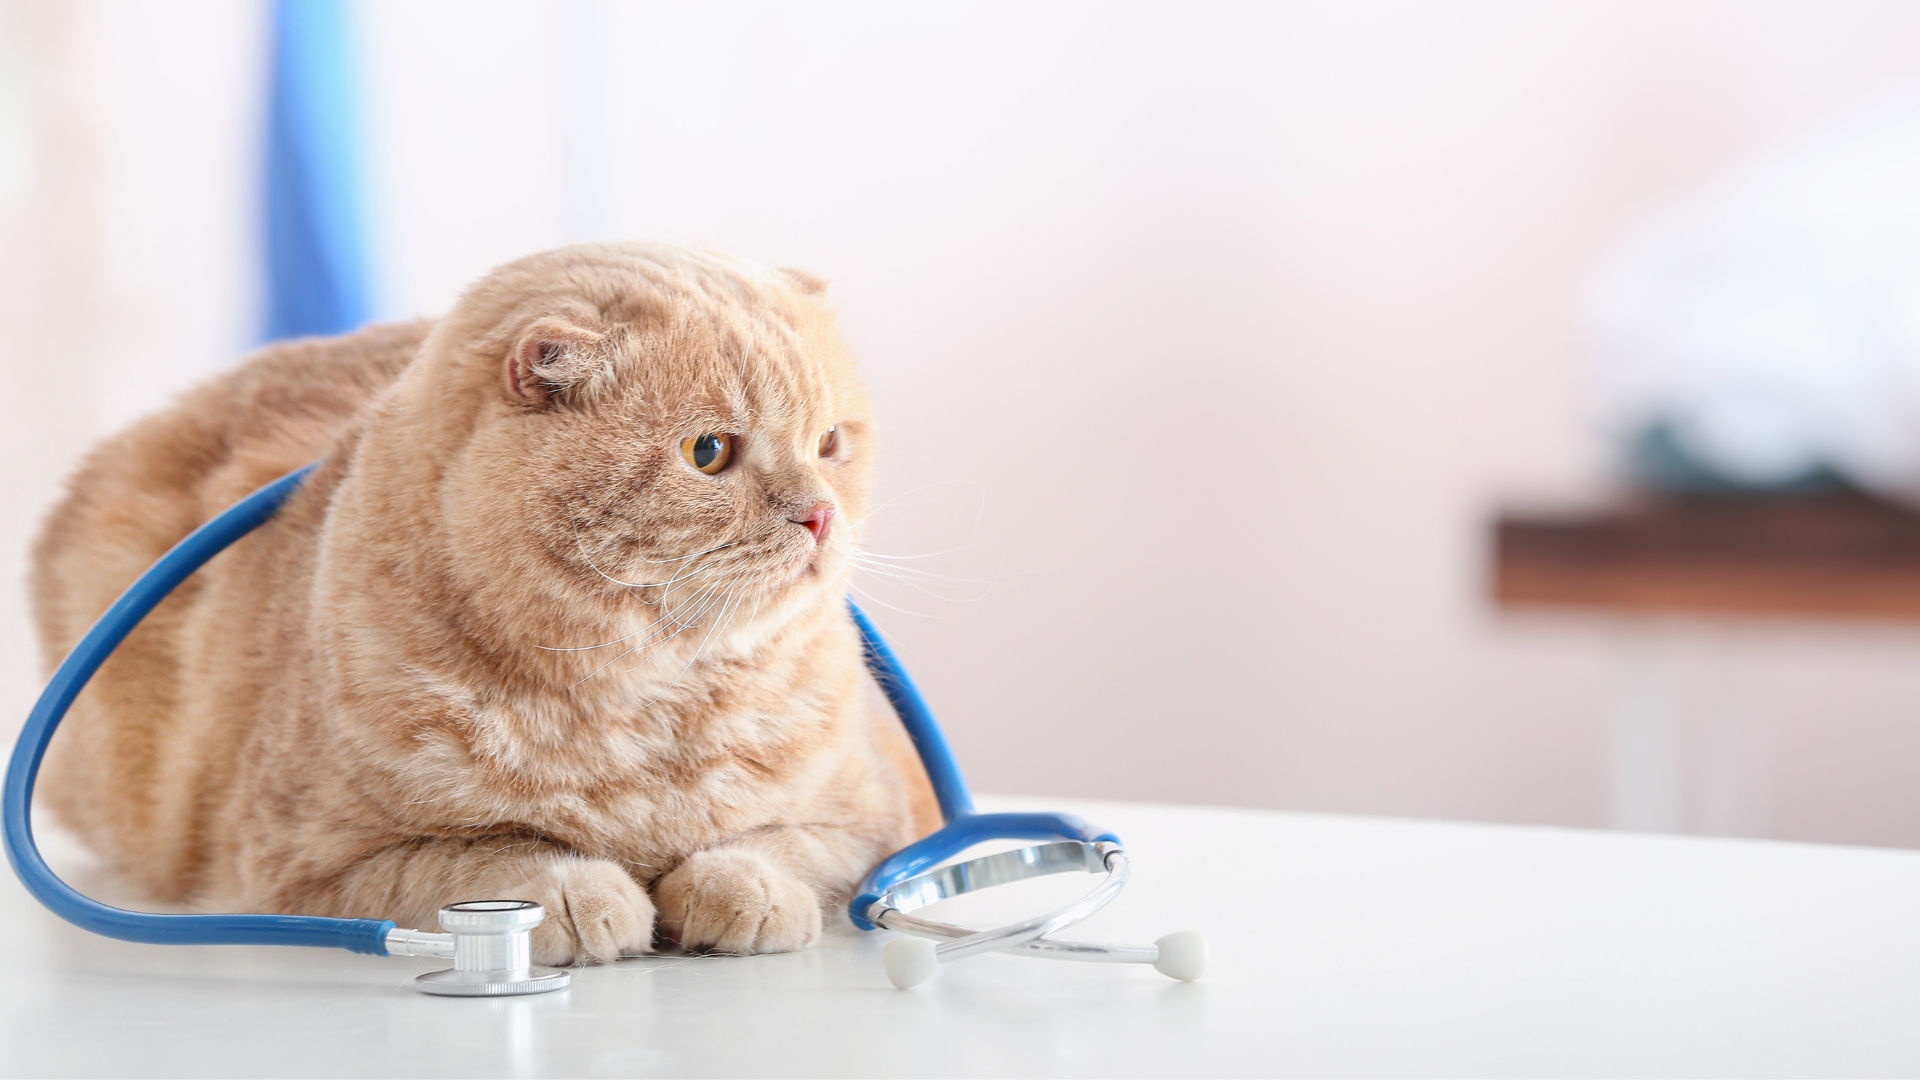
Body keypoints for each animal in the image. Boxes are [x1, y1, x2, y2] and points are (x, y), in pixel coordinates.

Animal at [22, 242, 936, 957]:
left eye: (831, 442)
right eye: (707, 452)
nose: (819, 515)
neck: (643, 712)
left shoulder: (878, 818)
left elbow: (787, 848)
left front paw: (741, 886)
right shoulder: (306, 866)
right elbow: (479, 858)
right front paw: (579, 892)